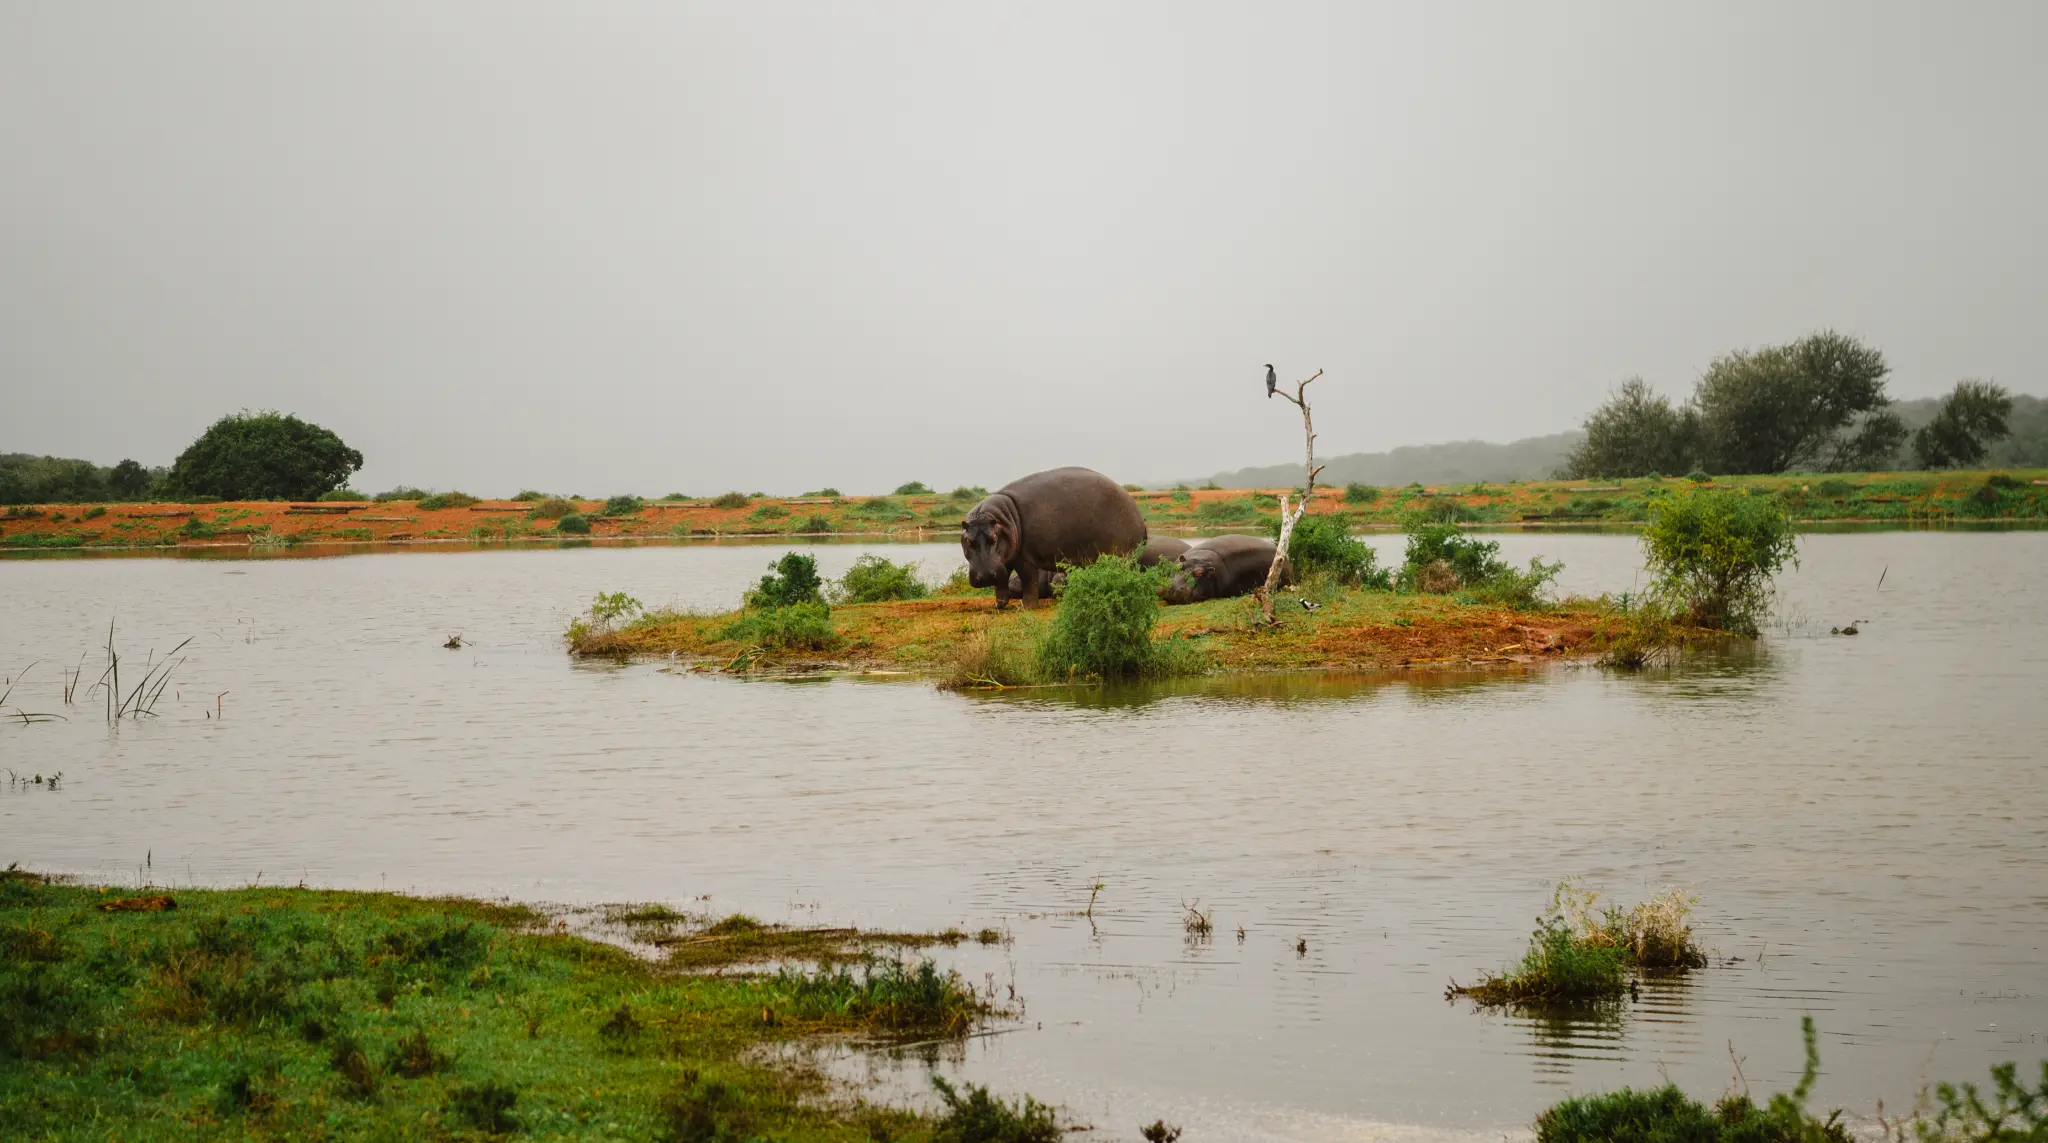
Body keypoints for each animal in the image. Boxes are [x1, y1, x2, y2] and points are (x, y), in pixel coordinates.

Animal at [962, 467, 1148, 609]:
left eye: (994, 538)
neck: (1001, 519)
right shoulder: (1005, 559)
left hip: (1121, 556)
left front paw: (1026, 607)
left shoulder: (1023, 558)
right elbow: (1001, 581)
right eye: (967, 540)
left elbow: (1028, 581)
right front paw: (999, 605)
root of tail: (1139, 514)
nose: (985, 576)